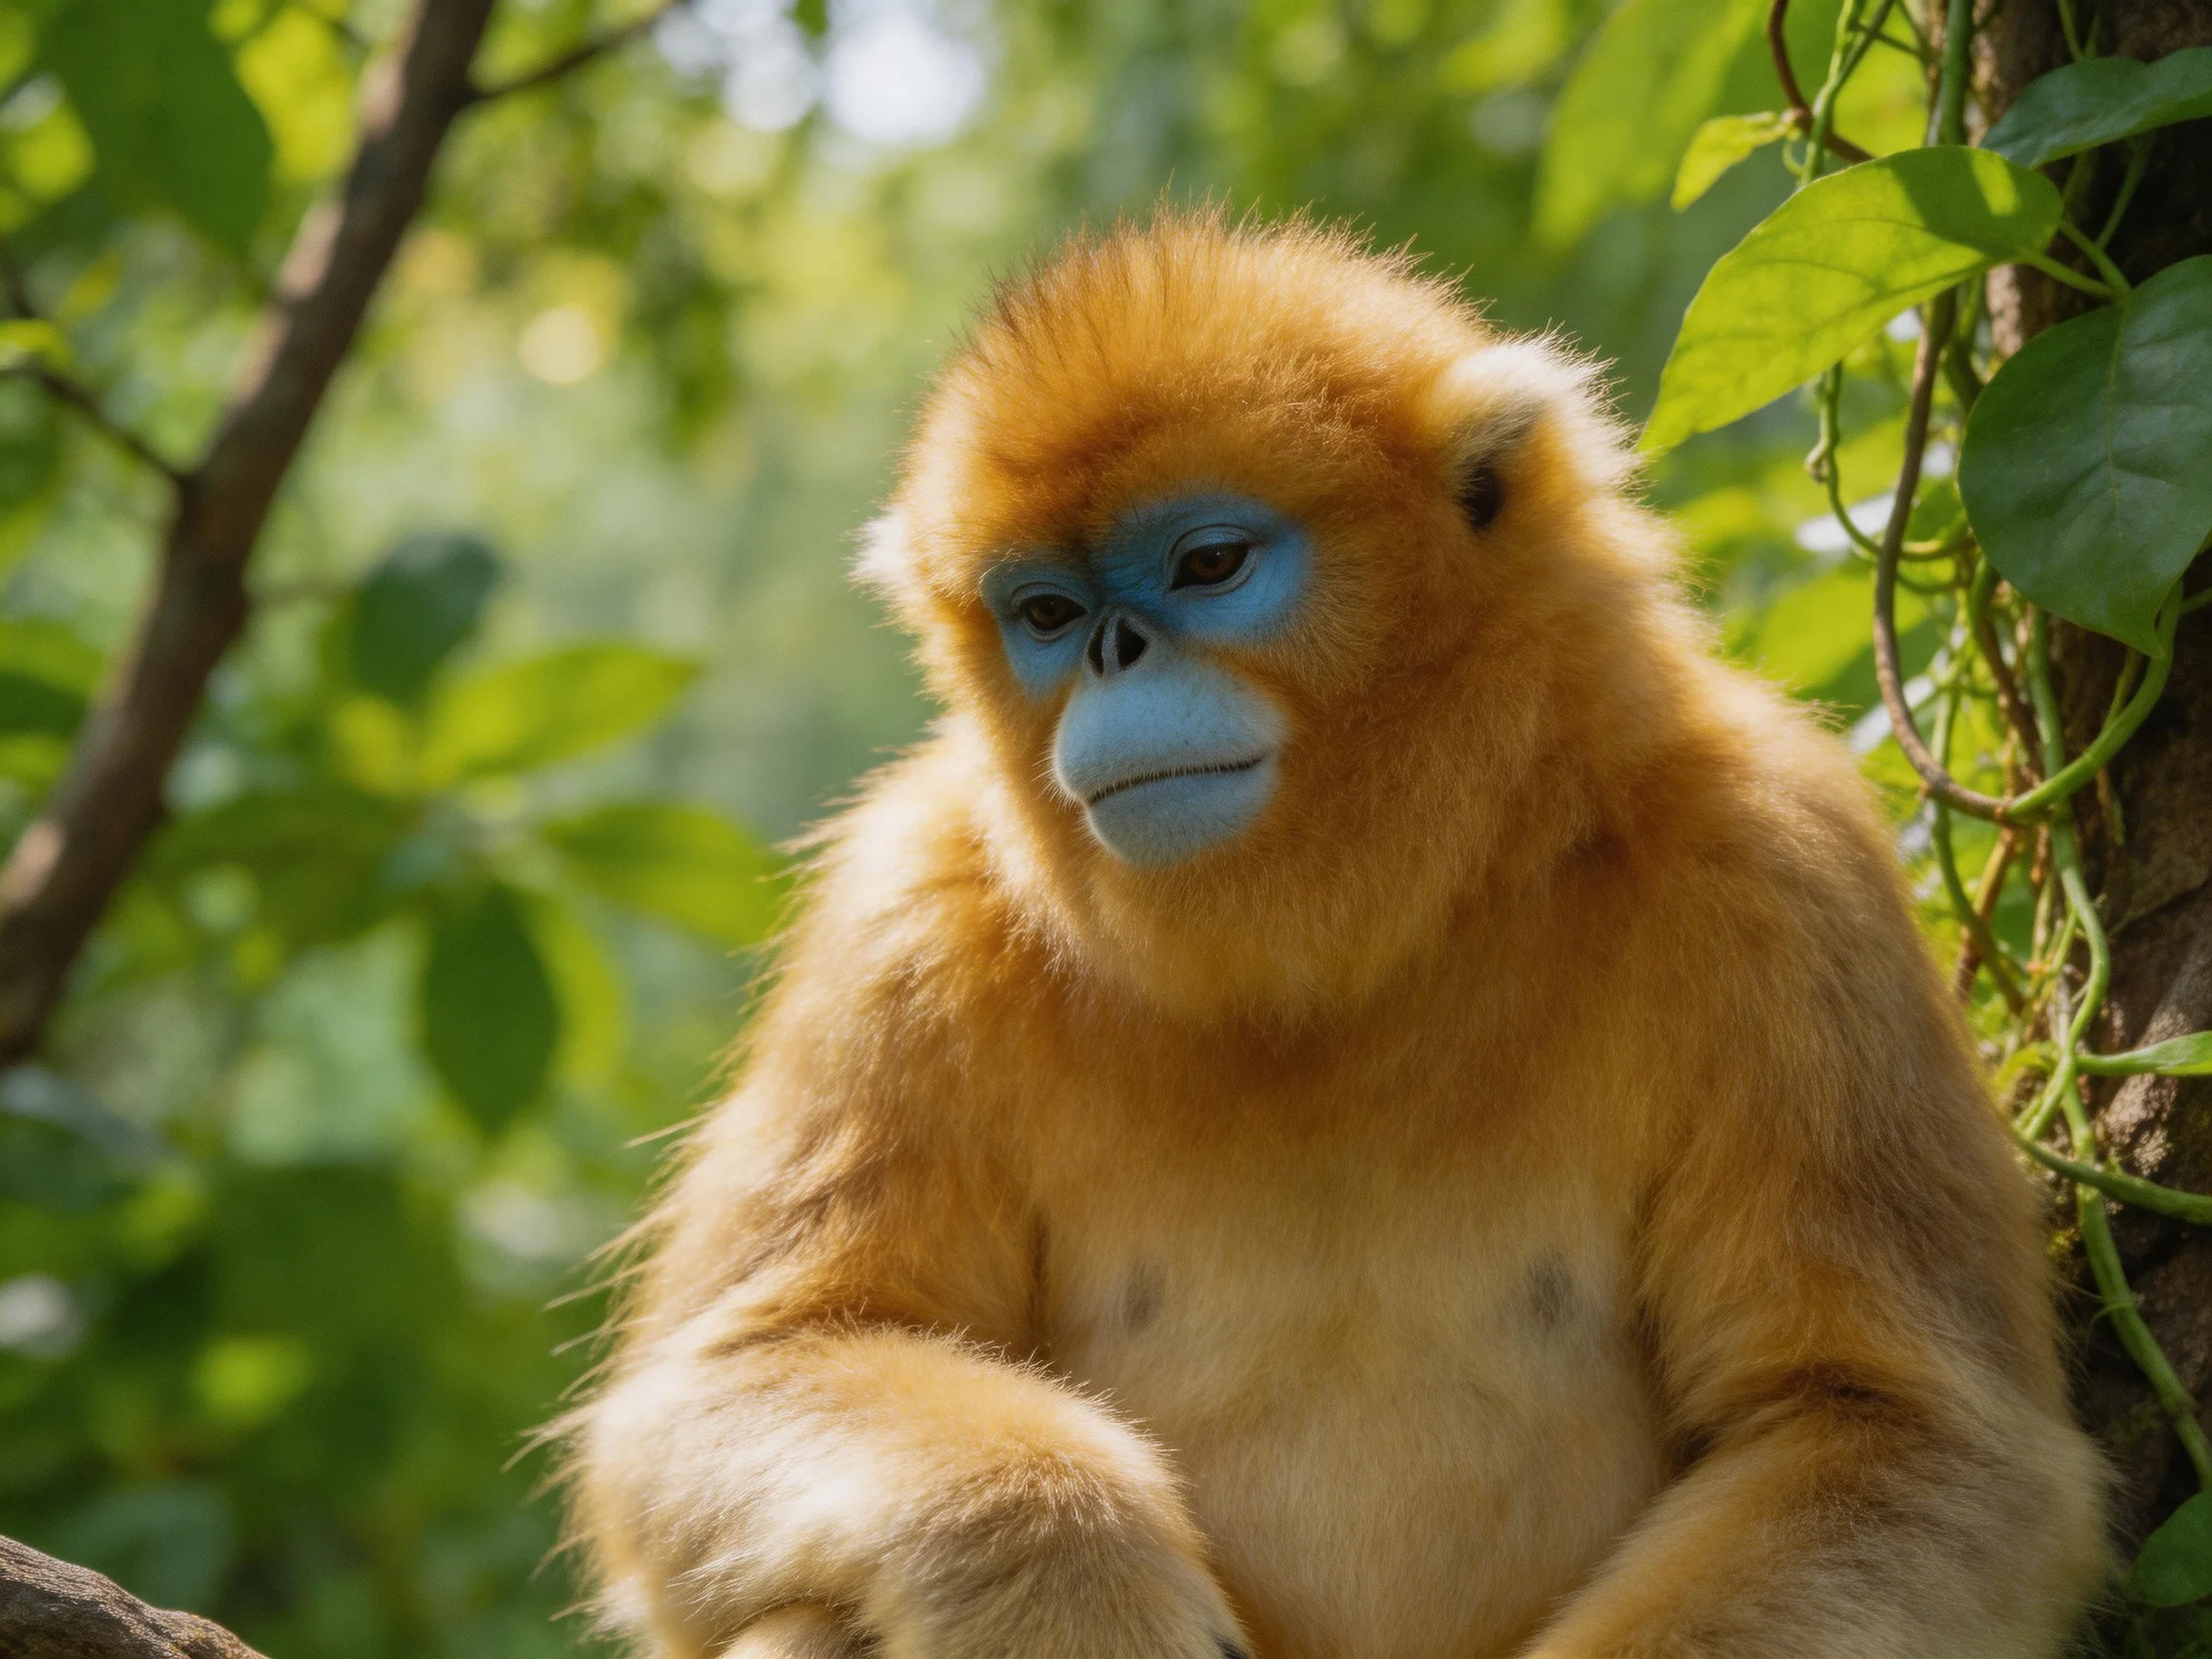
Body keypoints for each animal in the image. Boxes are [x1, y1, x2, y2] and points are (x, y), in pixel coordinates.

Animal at [567, 213, 2107, 1659]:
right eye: (1047, 613)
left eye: (1207, 565)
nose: (1114, 648)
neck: (1348, 954)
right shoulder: (907, 906)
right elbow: (715, 1386)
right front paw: (1065, 1577)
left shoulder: (1786, 867)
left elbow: (1900, 1426)